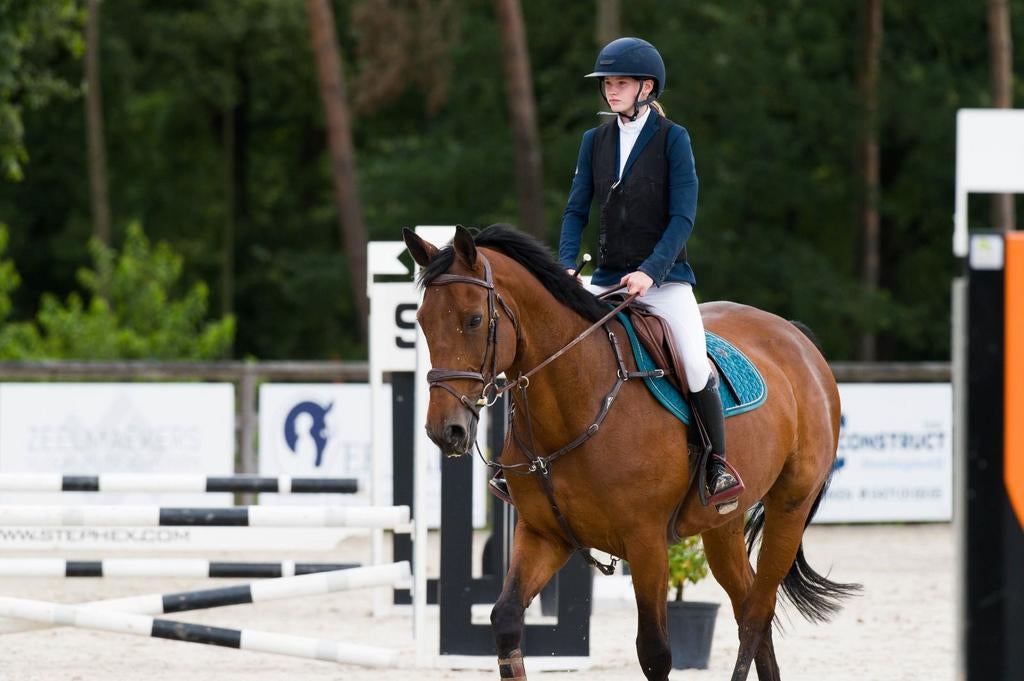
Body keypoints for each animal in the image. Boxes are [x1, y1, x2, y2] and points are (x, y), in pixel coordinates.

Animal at [403, 224, 859, 681]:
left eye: (474, 319)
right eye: (422, 322)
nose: (446, 431)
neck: (579, 401)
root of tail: (796, 337)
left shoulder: (646, 542)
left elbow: (654, 651)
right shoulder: (544, 535)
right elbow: (506, 619)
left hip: (789, 508)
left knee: (756, 614)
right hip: (721, 524)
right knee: (748, 603)